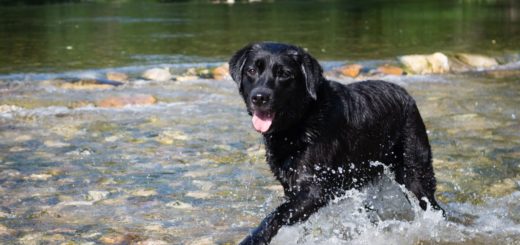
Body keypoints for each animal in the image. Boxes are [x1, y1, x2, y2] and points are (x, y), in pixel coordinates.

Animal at [230, 42, 444, 243]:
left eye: (284, 74)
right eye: (251, 71)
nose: (259, 97)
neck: (301, 120)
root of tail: (406, 95)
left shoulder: (315, 188)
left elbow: (277, 215)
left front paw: (254, 238)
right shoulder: (292, 186)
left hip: (414, 172)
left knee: (432, 205)